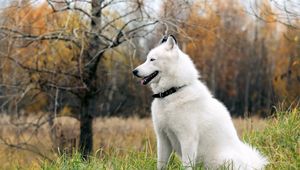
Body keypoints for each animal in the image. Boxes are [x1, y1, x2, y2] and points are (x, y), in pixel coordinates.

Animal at [132, 35, 268, 169]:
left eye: (152, 59)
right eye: (147, 59)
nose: (134, 71)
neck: (173, 92)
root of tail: (251, 164)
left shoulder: (187, 139)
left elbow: (186, 165)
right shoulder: (163, 138)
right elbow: (161, 164)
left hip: (220, 160)